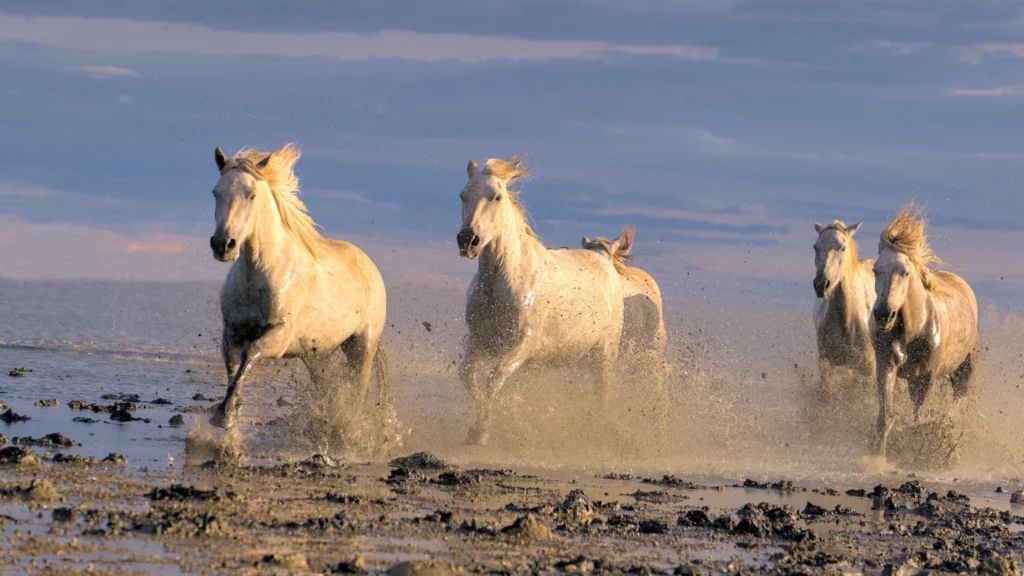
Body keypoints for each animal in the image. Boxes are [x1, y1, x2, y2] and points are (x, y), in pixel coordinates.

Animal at [207, 143, 396, 452]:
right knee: (327, 387)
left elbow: (250, 354)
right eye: (216, 192)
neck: (258, 276)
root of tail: (369, 266)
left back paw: (348, 433)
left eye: (252, 194)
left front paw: (224, 415)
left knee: (358, 391)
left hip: (362, 347)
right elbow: (233, 368)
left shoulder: (279, 335)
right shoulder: (231, 332)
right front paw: (230, 414)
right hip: (315, 355)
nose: (223, 245)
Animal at [456, 156, 625, 446]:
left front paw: (481, 432)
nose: (468, 241)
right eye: (463, 195)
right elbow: (467, 376)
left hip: (605, 353)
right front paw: (490, 424)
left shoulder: (522, 343)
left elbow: (494, 377)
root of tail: (604, 258)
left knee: (602, 393)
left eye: (497, 196)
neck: (504, 279)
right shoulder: (481, 341)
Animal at [870, 204, 978, 459]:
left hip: (964, 369)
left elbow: (917, 420)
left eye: (905, 272)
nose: (884, 314)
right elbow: (885, 417)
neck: (913, 330)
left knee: (957, 402)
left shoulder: (926, 377)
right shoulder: (886, 366)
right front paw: (878, 459)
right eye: (876, 270)